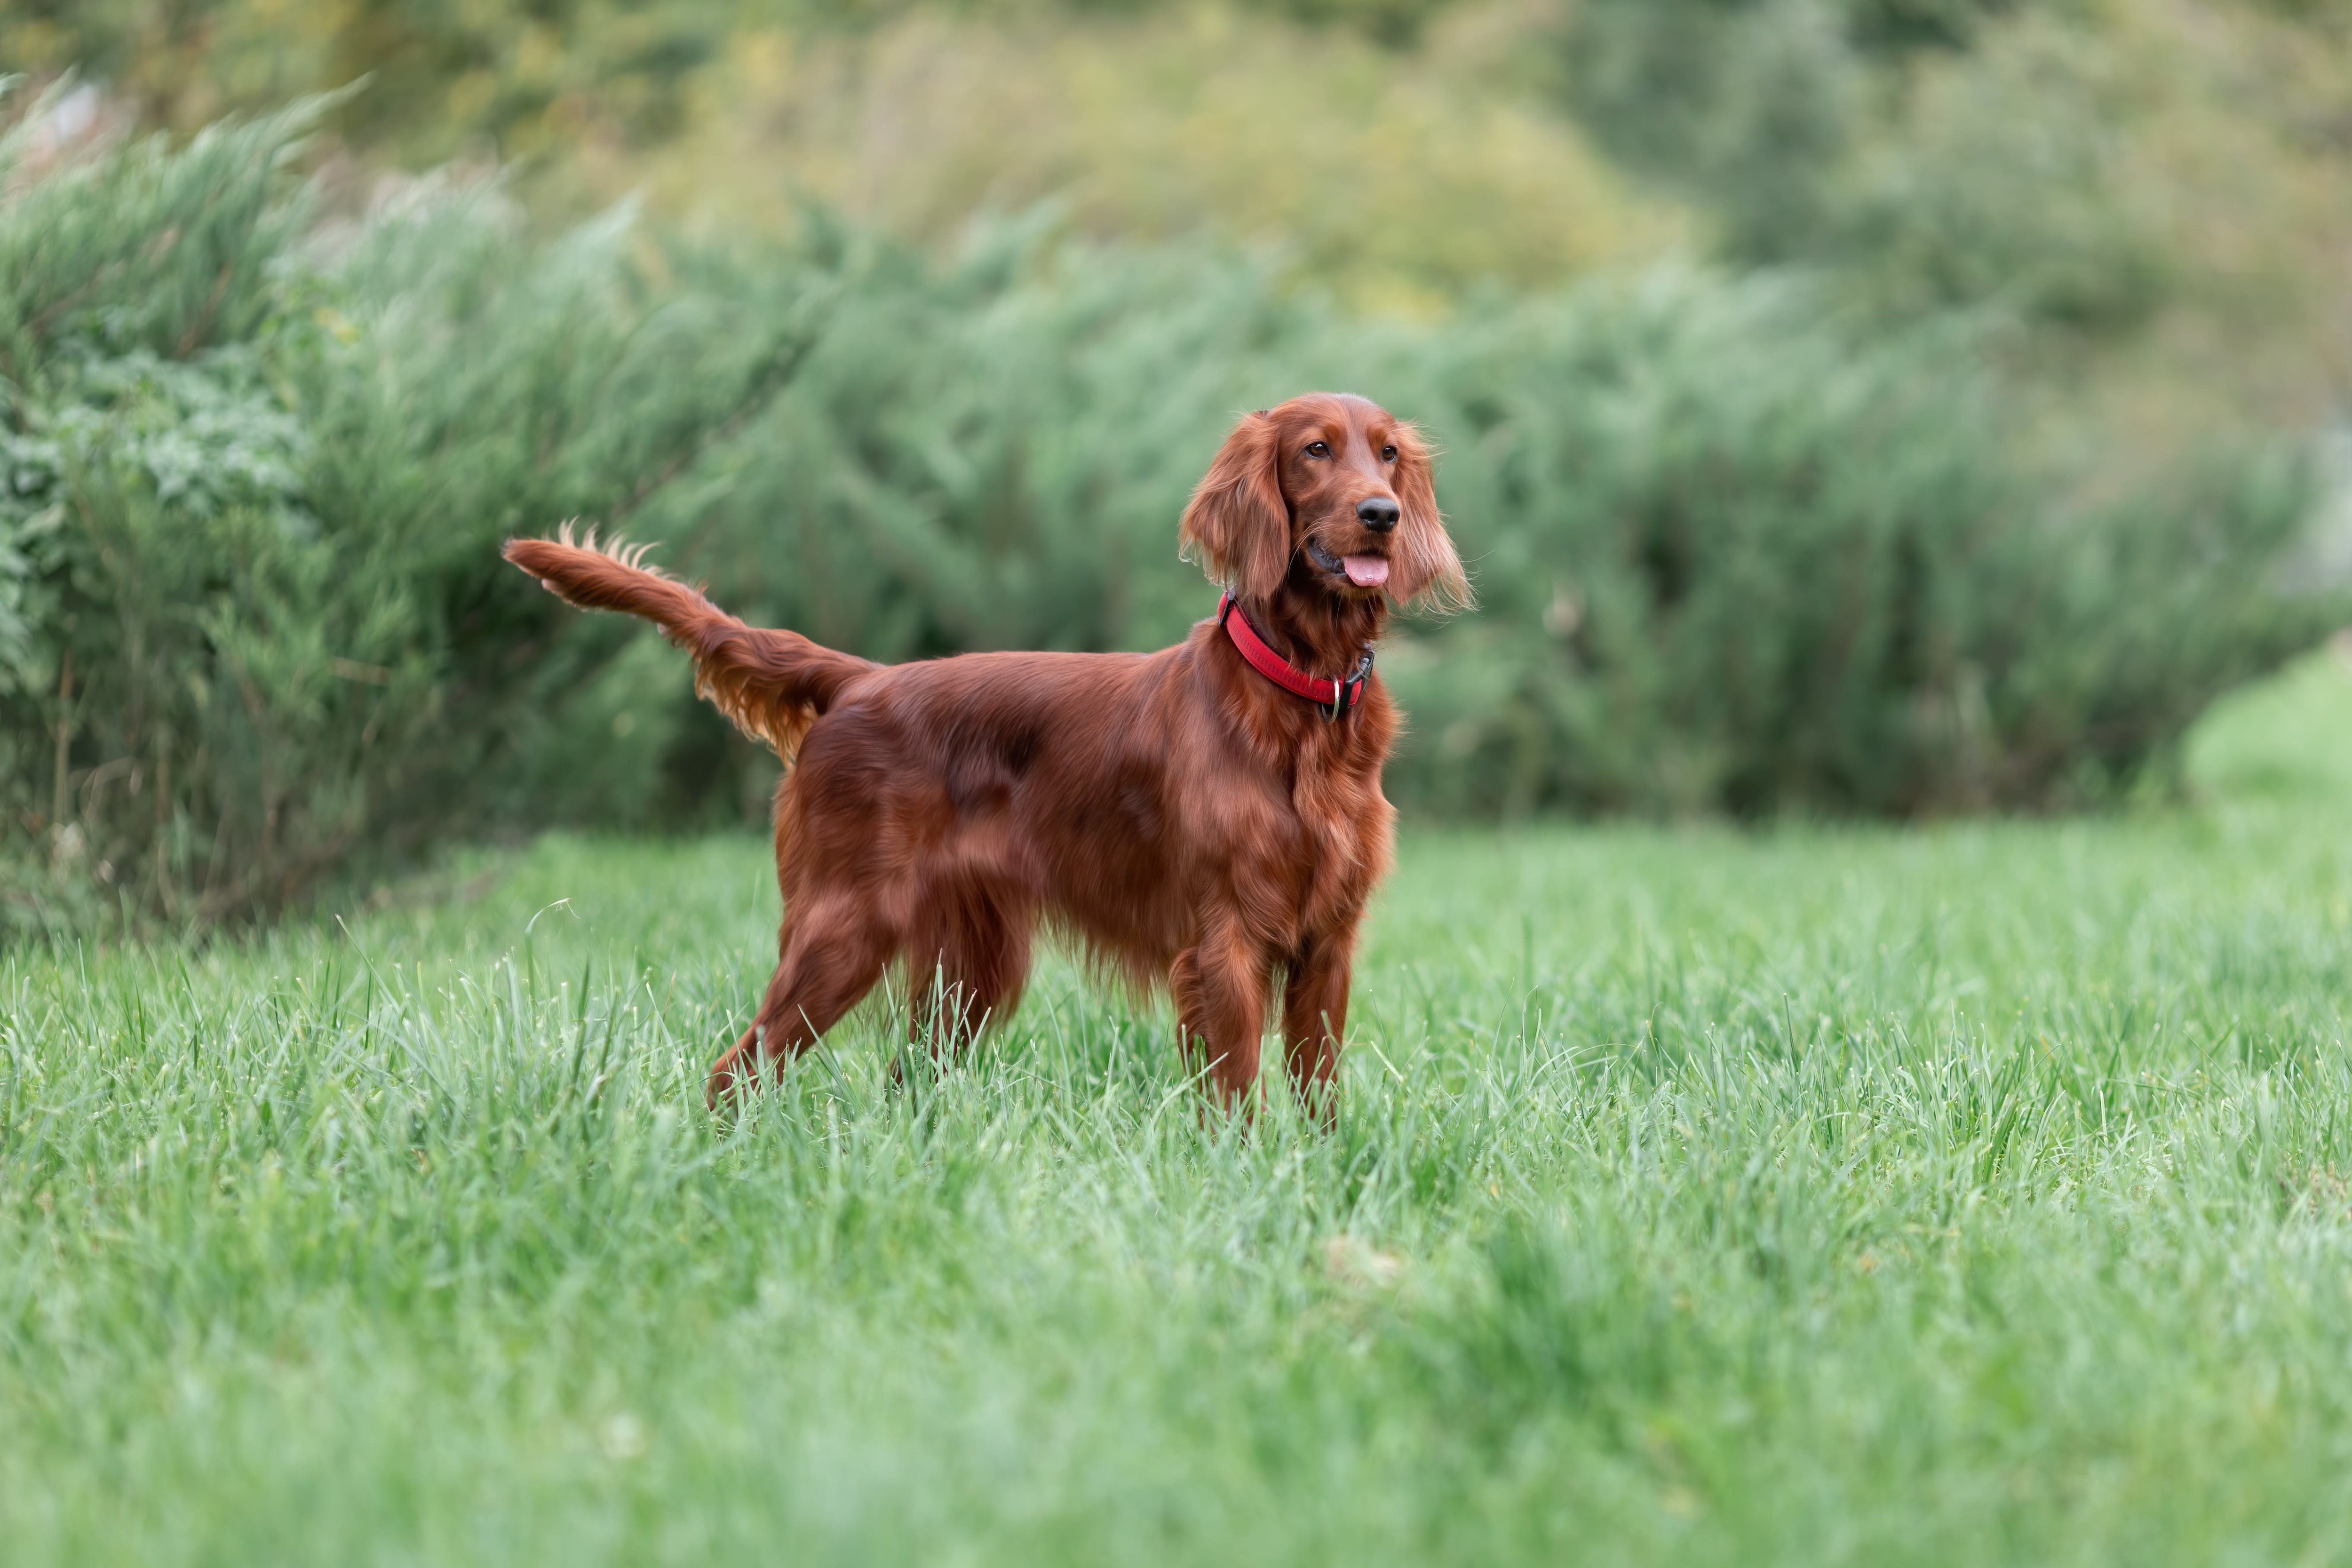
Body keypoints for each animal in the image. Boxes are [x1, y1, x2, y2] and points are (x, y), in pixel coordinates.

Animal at [510, 392, 1468, 1114]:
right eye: (1316, 449)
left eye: (1387, 454)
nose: (1381, 515)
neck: (1301, 698)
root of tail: (861, 681)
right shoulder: (1223, 939)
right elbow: (1234, 1089)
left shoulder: (1328, 943)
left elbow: (1318, 1090)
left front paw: (1320, 1174)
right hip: (845, 929)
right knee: (738, 1067)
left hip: (968, 969)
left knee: (900, 1078)